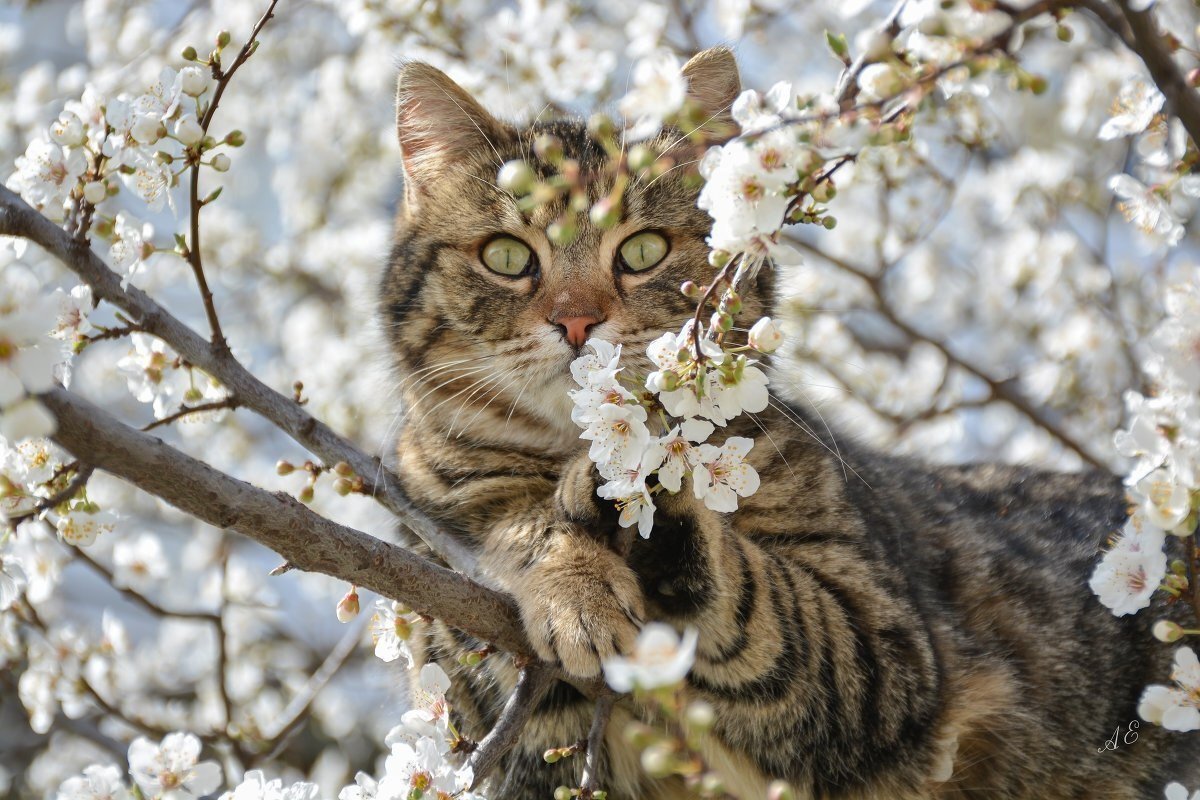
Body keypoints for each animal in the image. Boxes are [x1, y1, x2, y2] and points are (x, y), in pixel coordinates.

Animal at [376, 48, 1200, 800]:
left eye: (641, 250)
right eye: (507, 256)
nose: (577, 321)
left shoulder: (882, 644)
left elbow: (764, 605)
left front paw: (647, 506)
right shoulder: (499, 716)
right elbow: (510, 537)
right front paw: (569, 570)